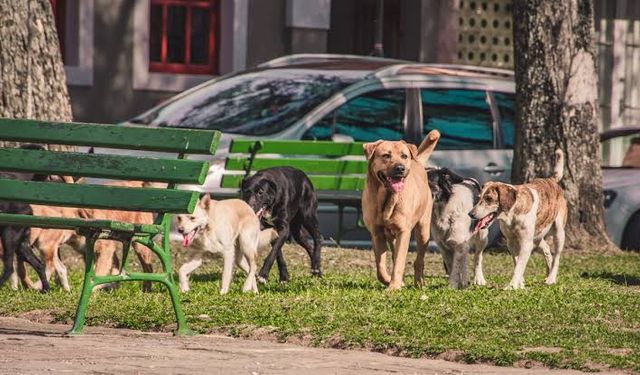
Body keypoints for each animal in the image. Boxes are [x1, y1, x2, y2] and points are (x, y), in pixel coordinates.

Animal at [362, 131, 442, 292]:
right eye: (386, 155)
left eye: (404, 156)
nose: (400, 168)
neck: (386, 198)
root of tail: (417, 162)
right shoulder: (376, 233)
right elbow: (380, 266)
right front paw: (389, 281)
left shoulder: (403, 232)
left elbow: (399, 261)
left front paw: (394, 286)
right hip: (392, 236)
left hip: (423, 231)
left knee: (419, 260)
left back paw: (419, 283)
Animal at [468, 150, 568, 290]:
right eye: (479, 198)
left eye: (489, 199)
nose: (470, 214)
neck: (512, 215)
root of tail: (551, 180)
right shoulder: (511, 242)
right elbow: (517, 262)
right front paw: (520, 283)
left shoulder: (526, 243)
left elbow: (519, 265)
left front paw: (512, 285)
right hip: (537, 237)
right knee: (547, 249)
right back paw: (547, 274)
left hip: (558, 232)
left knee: (557, 256)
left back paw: (551, 278)